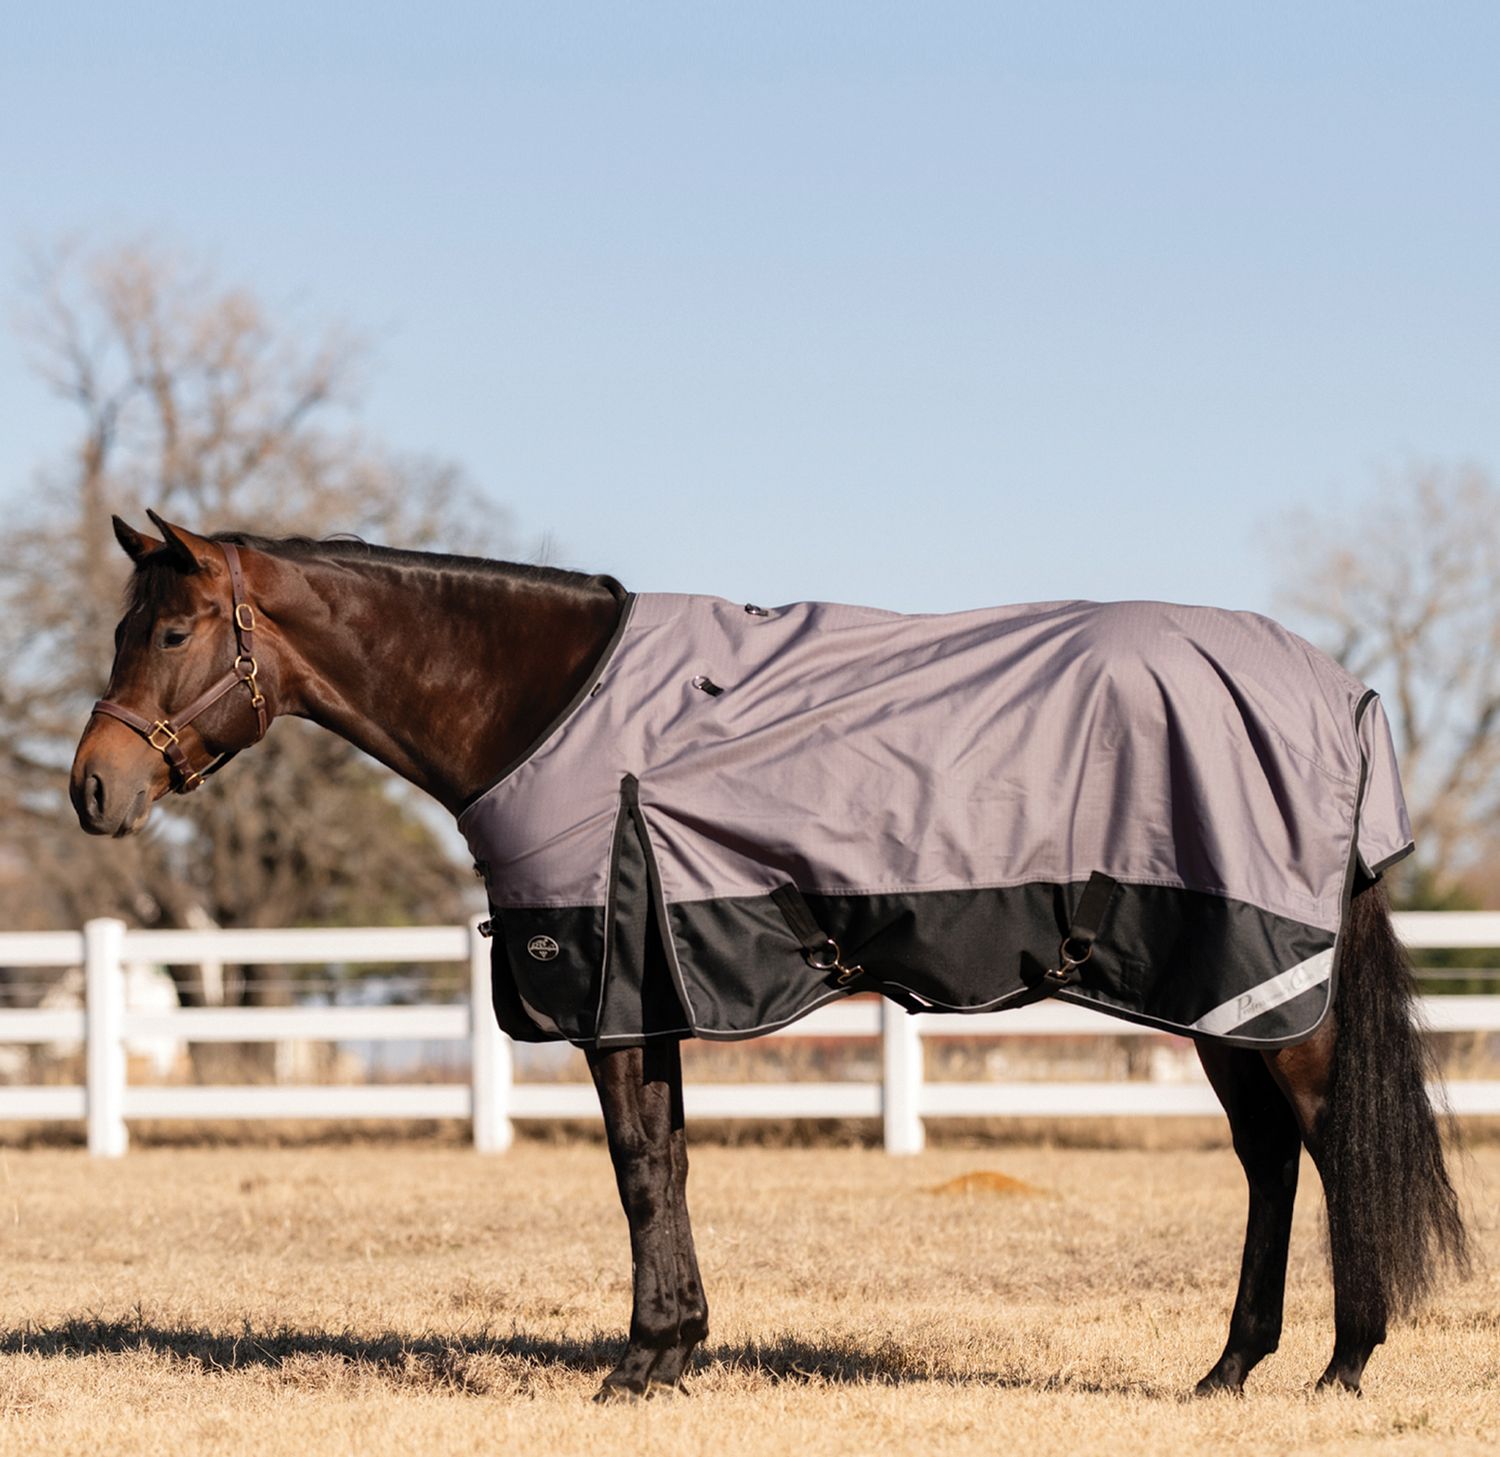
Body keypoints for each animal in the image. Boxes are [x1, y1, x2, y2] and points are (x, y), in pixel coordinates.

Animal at [70, 512, 1468, 1399]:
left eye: (175, 631)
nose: (93, 788)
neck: (547, 707)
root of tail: (1343, 699)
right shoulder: (657, 987)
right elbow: (672, 1164)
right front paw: (678, 1348)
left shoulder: (611, 985)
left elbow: (640, 1171)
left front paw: (639, 1364)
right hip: (1221, 992)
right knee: (1269, 1159)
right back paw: (1229, 1367)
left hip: (1267, 985)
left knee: (1327, 1141)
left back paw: (1343, 1363)